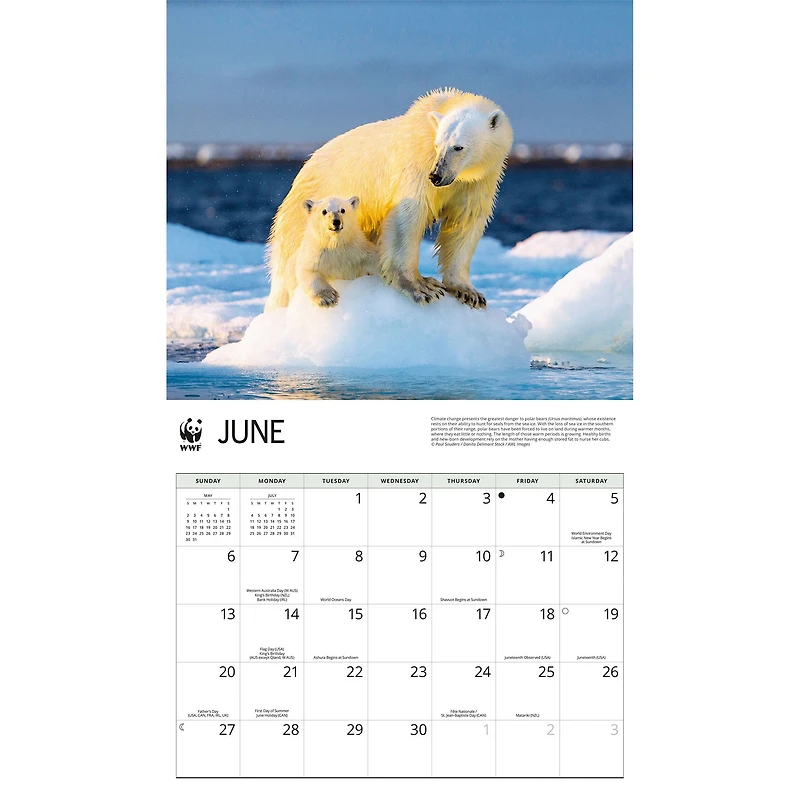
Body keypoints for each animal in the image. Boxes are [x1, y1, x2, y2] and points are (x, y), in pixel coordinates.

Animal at [266, 88, 513, 311]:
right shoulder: (417, 162)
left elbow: (466, 221)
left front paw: (468, 292)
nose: (436, 175)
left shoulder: (479, 181)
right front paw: (422, 286)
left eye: (458, 147)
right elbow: (408, 214)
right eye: (437, 145)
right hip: (306, 214)